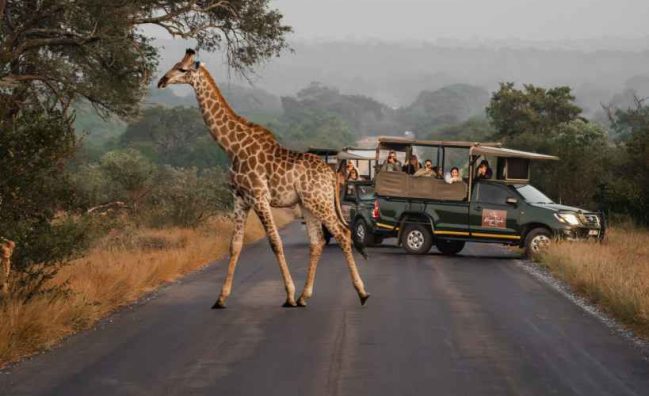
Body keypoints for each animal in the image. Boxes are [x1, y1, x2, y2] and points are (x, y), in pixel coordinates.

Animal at [157, 49, 370, 308]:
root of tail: (331, 175)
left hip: (320, 202)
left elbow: (275, 243)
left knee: (342, 234)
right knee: (317, 241)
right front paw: (220, 298)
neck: (232, 147)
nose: (162, 81)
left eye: (183, 69)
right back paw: (304, 296)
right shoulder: (239, 198)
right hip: (307, 204)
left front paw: (288, 295)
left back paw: (361, 293)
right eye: (175, 64)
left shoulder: (259, 197)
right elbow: (235, 245)